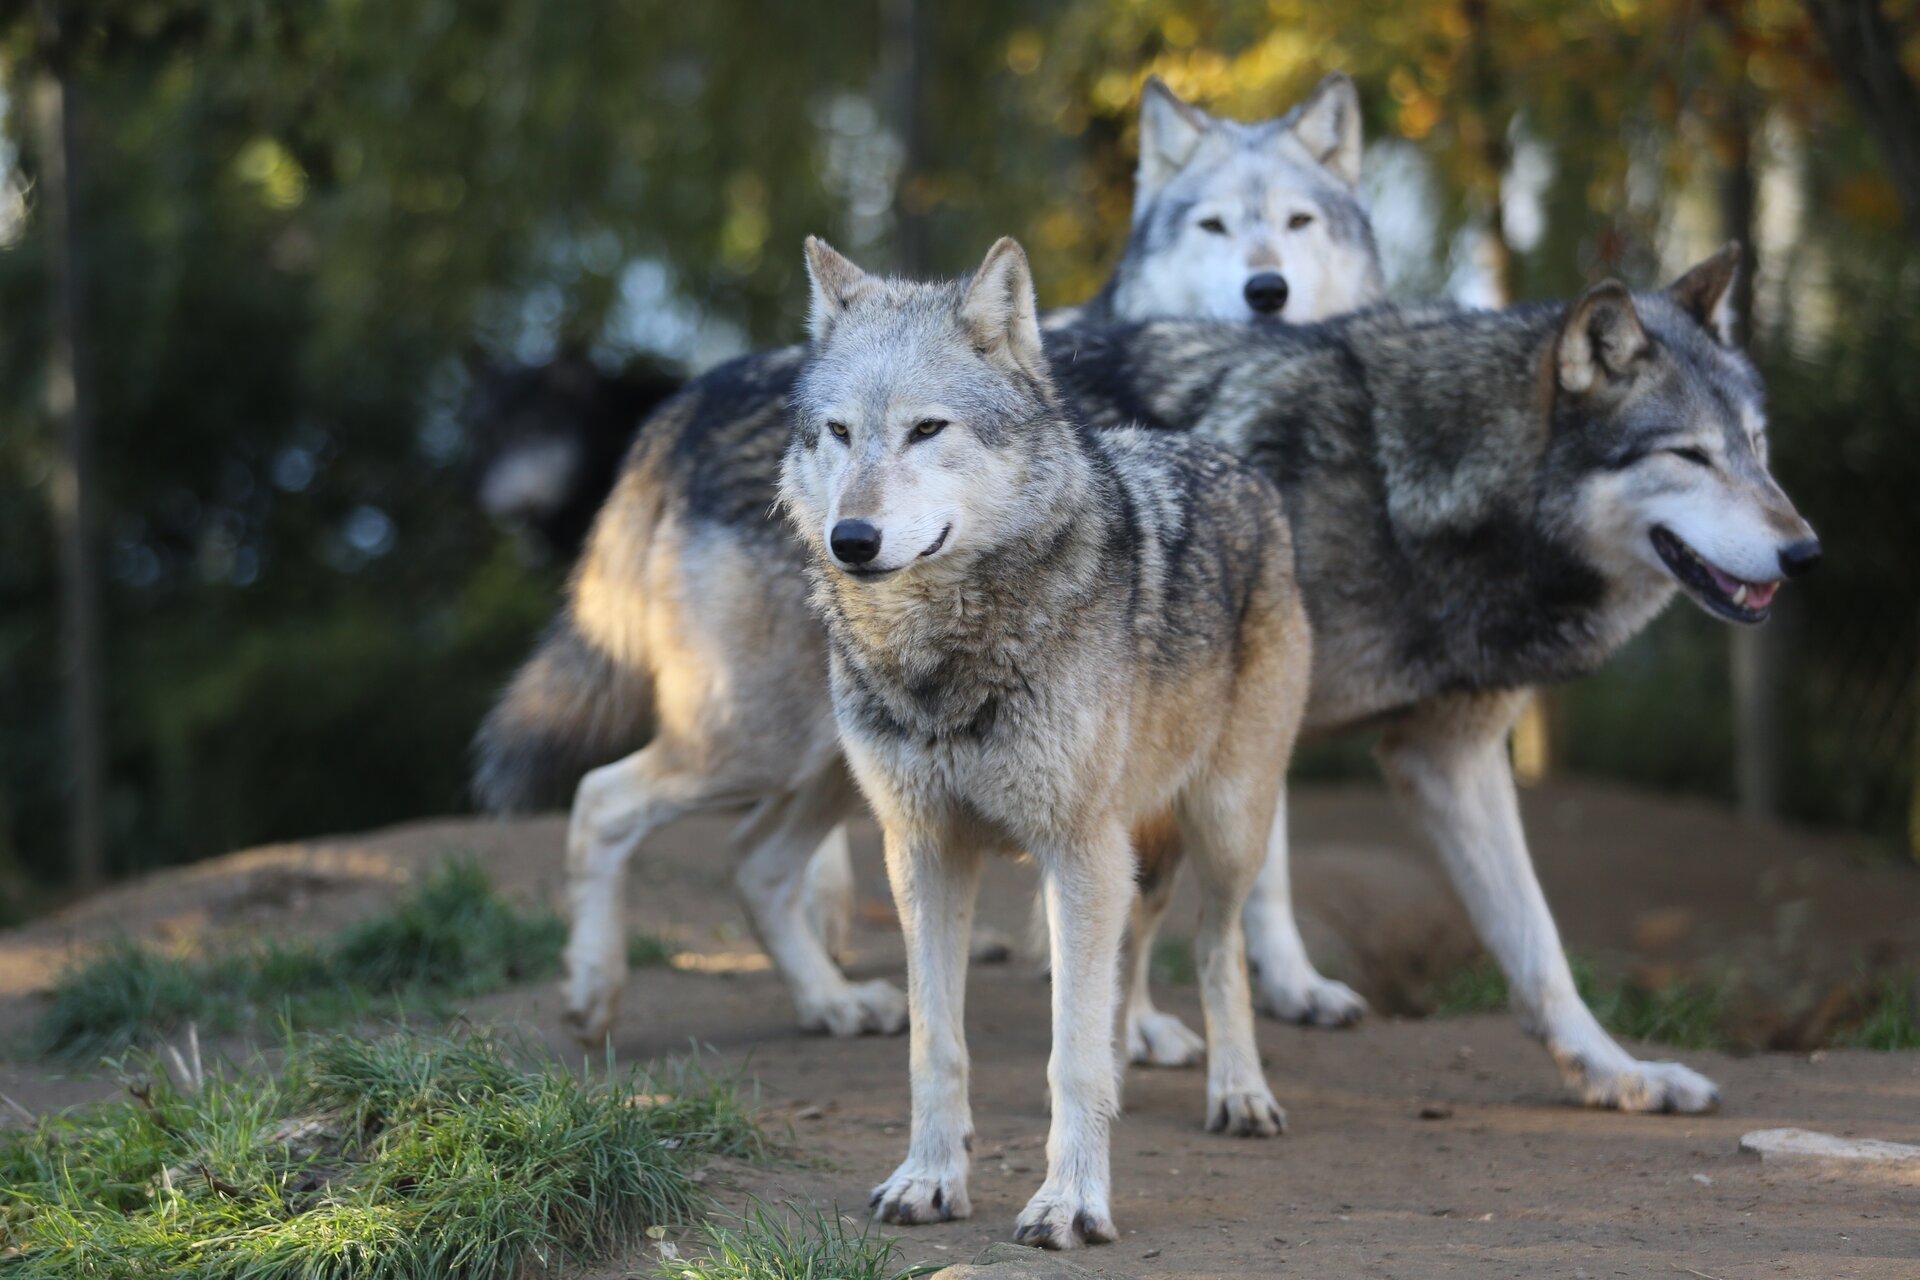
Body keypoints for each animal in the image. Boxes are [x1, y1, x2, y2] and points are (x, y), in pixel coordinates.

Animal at [472, 72, 1390, 1043]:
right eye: (1213, 225)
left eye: (1297, 221)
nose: (1266, 290)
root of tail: (681, 406)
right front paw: (1144, 1020)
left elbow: (1249, 864)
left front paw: (1291, 986)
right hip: (756, 740)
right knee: (603, 802)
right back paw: (593, 991)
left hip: (824, 758)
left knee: (756, 860)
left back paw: (832, 1003)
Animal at [779, 239, 1305, 1251]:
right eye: (838, 433)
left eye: (926, 430)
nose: (851, 538)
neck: (941, 658)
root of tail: (1232, 463)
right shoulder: (925, 853)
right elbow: (936, 1045)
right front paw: (929, 1180)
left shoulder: (1074, 848)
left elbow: (1070, 1058)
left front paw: (1071, 1203)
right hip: (1127, 849)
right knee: (1130, 958)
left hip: (1222, 827)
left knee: (1218, 952)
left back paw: (1240, 1092)